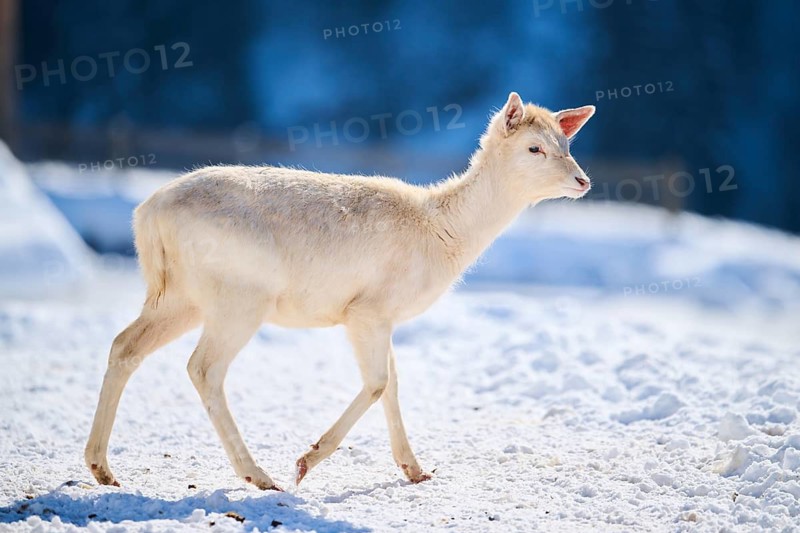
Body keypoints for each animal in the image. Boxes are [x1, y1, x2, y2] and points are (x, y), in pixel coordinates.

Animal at [85, 92, 595, 491]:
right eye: (534, 147)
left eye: (567, 143)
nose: (583, 180)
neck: (442, 235)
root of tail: (147, 215)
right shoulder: (365, 310)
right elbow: (378, 383)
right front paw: (305, 461)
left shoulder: (385, 317)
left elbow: (393, 383)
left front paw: (415, 470)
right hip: (239, 297)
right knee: (203, 367)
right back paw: (259, 475)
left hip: (177, 296)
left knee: (124, 345)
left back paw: (101, 468)